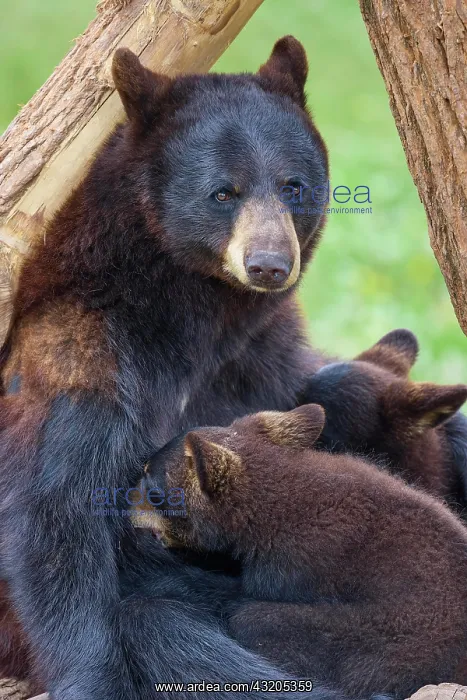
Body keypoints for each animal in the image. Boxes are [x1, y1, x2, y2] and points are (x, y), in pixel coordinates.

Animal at [0, 35, 366, 700]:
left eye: (293, 185)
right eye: (224, 192)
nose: (269, 264)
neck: (194, 314)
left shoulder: (260, 350)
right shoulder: (81, 352)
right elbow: (56, 512)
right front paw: (90, 677)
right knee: (164, 627)